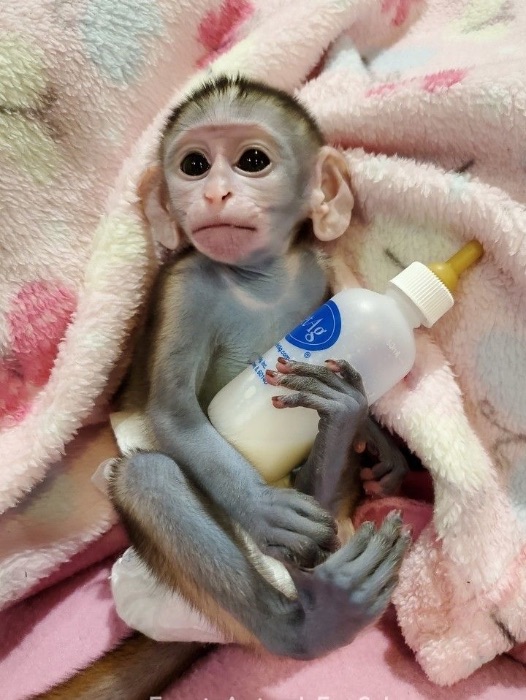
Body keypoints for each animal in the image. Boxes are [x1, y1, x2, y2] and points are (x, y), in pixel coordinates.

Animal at [36, 75, 410, 700]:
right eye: (193, 164)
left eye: (252, 160)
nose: (212, 195)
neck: (260, 279)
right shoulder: (185, 288)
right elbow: (174, 412)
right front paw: (265, 510)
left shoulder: (318, 276)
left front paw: (379, 439)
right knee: (149, 478)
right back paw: (313, 622)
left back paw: (335, 435)